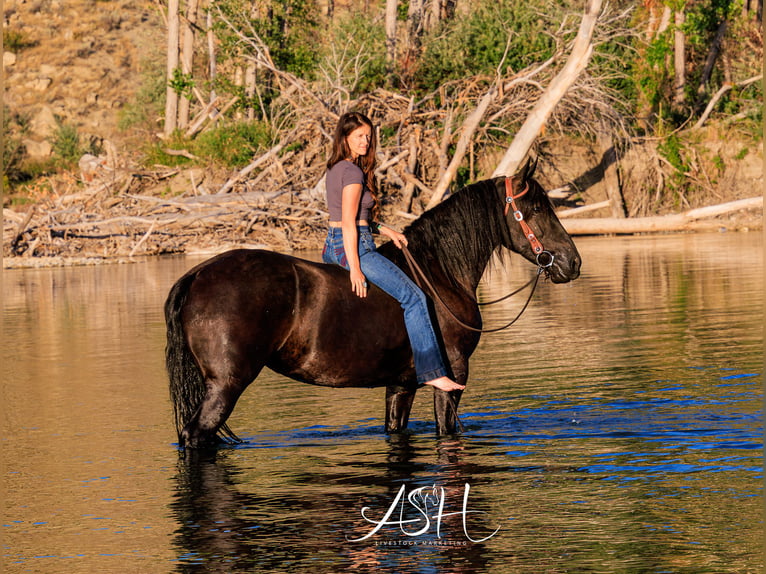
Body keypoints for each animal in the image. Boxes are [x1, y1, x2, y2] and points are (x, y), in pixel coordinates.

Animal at [165, 159, 581, 449]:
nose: (572, 262)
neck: (438, 273)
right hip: (226, 385)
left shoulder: (401, 385)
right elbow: (446, 431)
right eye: (537, 210)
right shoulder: (452, 378)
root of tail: (197, 273)